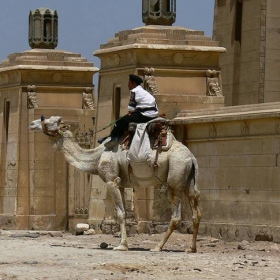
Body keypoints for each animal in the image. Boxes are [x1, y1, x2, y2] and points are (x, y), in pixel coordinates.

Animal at [29, 115, 202, 253]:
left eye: (51, 121)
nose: (31, 123)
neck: (97, 156)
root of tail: (191, 157)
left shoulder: (111, 180)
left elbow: (120, 214)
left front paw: (122, 246)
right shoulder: (122, 183)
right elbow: (122, 211)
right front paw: (121, 243)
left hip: (176, 175)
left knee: (176, 216)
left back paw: (157, 247)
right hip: (189, 180)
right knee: (196, 212)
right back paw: (191, 248)